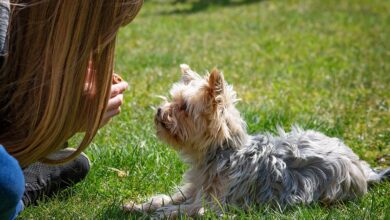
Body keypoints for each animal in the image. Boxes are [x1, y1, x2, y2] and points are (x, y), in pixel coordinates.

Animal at [123, 64, 388, 218]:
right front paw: (137, 205)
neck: (222, 153)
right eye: (172, 99)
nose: (159, 111)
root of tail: (363, 169)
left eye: (184, 108)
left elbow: (184, 209)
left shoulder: (215, 205)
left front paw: (157, 213)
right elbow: (167, 198)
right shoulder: (193, 189)